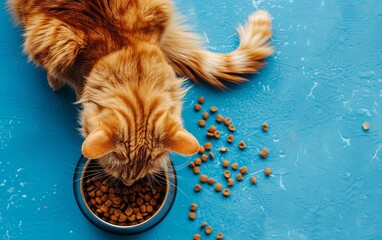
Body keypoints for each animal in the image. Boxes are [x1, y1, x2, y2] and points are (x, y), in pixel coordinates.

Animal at [8, 0, 272, 186]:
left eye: (141, 173)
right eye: (118, 169)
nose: (128, 183)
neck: (121, 44)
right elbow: (57, 73)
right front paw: (55, 80)